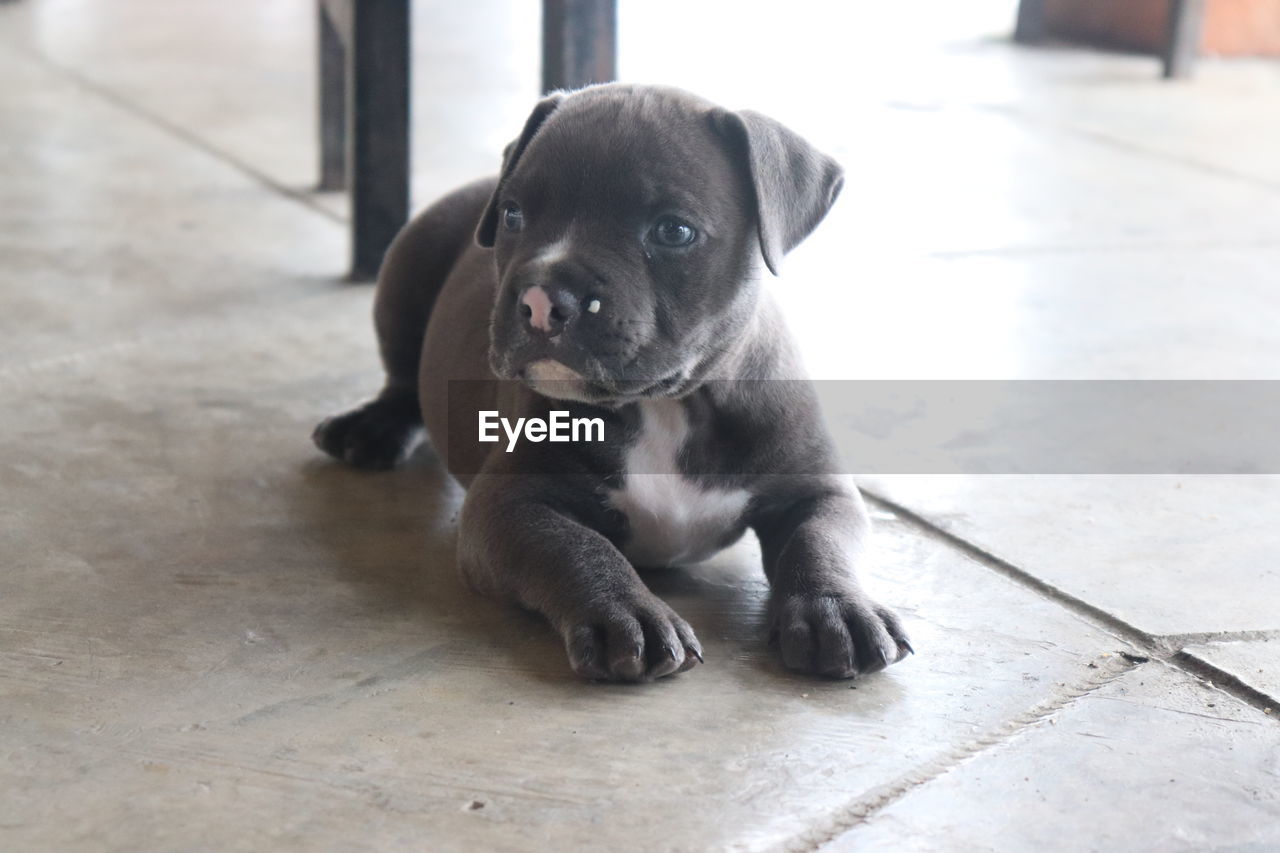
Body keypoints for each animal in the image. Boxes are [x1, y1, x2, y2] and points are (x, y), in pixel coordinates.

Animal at [312, 84, 911, 686]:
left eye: (674, 231)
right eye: (513, 215)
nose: (541, 299)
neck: (669, 405)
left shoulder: (818, 489)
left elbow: (819, 541)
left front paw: (838, 611)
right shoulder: (506, 505)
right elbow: (576, 546)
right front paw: (629, 614)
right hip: (407, 268)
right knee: (401, 378)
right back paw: (369, 429)